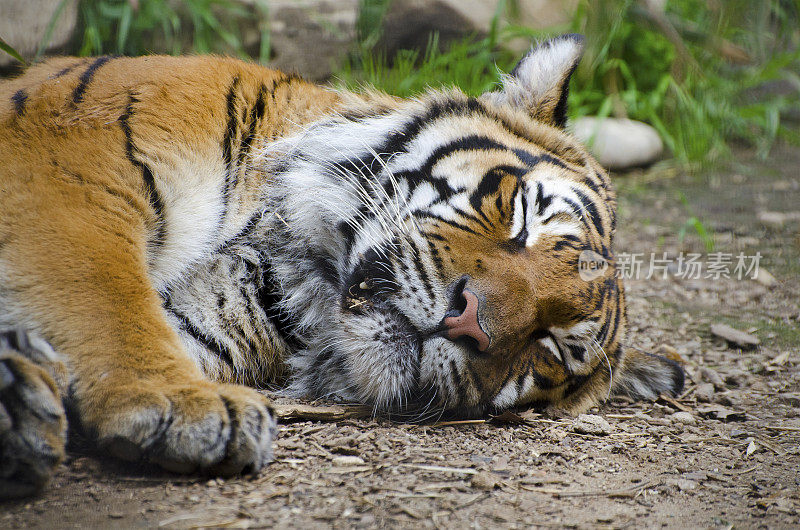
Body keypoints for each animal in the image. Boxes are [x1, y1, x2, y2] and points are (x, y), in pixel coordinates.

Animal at [0, 34, 684, 496]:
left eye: (553, 346)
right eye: (521, 218)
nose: (469, 322)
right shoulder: (73, 165)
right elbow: (104, 288)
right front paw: (181, 403)